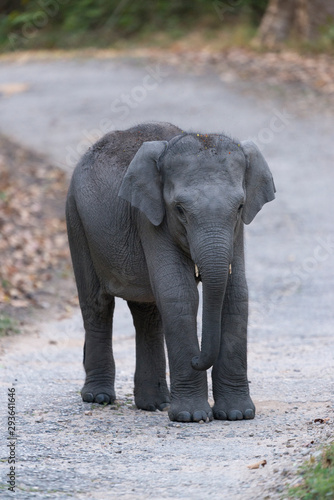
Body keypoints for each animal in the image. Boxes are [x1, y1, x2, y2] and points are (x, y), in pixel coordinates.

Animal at [66, 121, 276, 422]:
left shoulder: (237, 230)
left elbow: (236, 293)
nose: (197, 359)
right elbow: (179, 294)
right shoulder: (150, 217)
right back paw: (99, 397)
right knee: (97, 305)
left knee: (148, 314)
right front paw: (192, 417)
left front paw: (237, 414)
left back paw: (155, 403)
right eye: (179, 210)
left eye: (239, 207)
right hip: (76, 219)